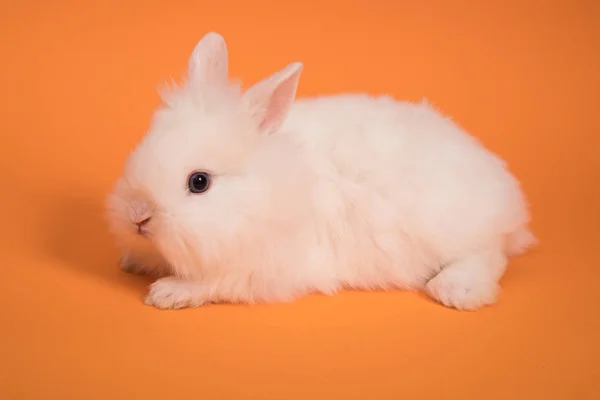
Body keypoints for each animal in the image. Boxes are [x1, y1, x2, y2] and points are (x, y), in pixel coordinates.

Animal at [106, 32, 540, 312]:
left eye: (199, 182)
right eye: (143, 147)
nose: (138, 216)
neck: (266, 191)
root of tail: (505, 191)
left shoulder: (260, 268)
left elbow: (213, 282)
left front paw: (167, 293)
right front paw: (133, 260)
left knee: (488, 254)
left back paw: (456, 290)